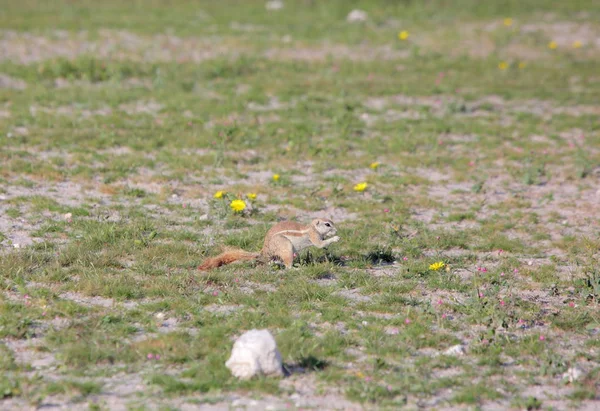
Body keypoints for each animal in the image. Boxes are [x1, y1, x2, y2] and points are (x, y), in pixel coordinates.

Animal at [199, 219, 340, 270]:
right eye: (328, 224)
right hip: (286, 247)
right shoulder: (314, 236)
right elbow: (319, 244)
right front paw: (335, 238)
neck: (312, 228)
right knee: (287, 266)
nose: (336, 230)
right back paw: (296, 268)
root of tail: (264, 251)